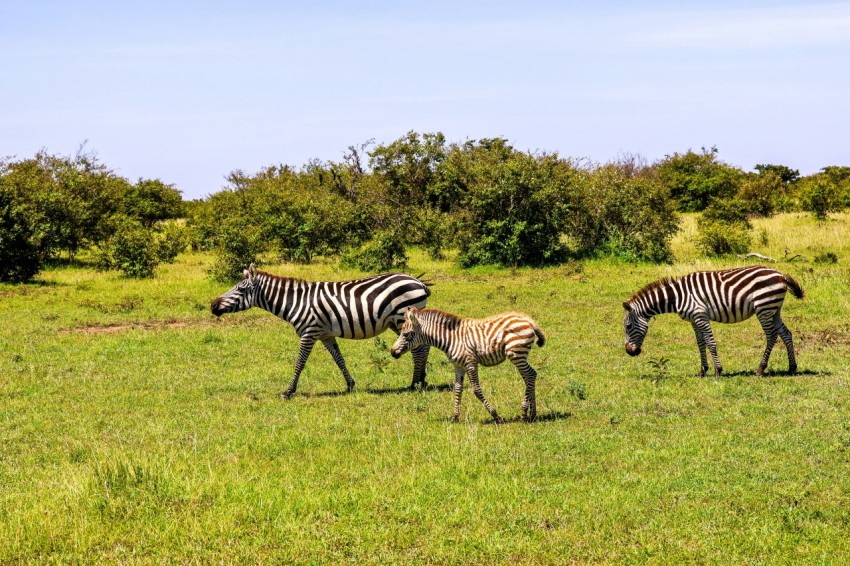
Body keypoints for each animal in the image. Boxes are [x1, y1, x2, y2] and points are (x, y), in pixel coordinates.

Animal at [206, 266, 430, 400]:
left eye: (240, 290)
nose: (213, 305)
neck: (296, 302)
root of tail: (418, 282)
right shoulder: (325, 335)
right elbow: (339, 359)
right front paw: (350, 385)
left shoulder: (309, 333)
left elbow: (300, 363)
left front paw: (288, 391)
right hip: (398, 322)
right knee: (423, 347)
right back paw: (422, 380)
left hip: (401, 318)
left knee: (418, 350)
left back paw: (415, 384)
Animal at [390, 308, 548, 424]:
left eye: (406, 334)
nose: (392, 352)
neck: (451, 338)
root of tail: (526, 319)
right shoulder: (458, 366)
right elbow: (457, 389)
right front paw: (454, 417)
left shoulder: (470, 363)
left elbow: (476, 390)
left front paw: (496, 416)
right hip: (519, 355)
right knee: (530, 376)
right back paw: (533, 414)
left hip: (516, 353)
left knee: (530, 375)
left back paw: (524, 414)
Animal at [620, 266, 804, 378]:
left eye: (628, 326)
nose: (629, 352)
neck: (678, 296)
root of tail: (780, 275)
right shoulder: (694, 319)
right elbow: (701, 343)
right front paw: (703, 370)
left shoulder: (700, 315)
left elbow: (710, 342)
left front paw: (718, 370)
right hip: (774, 309)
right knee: (786, 333)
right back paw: (792, 367)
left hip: (764, 308)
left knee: (772, 335)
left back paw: (760, 369)